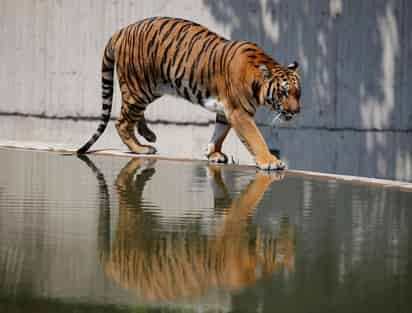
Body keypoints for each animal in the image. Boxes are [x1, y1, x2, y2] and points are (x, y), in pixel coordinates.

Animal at [77, 15, 300, 169]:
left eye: (298, 93)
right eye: (283, 93)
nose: (296, 111)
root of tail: (122, 30)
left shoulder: (225, 111)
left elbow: (219, 133)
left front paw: (213, 154)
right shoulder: (239, 112)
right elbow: (255, 138)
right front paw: (270, 161)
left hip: (150, 89)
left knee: (132, 115)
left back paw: (148, 135)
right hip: (138, 88)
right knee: (122, 122)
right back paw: (141, 148)